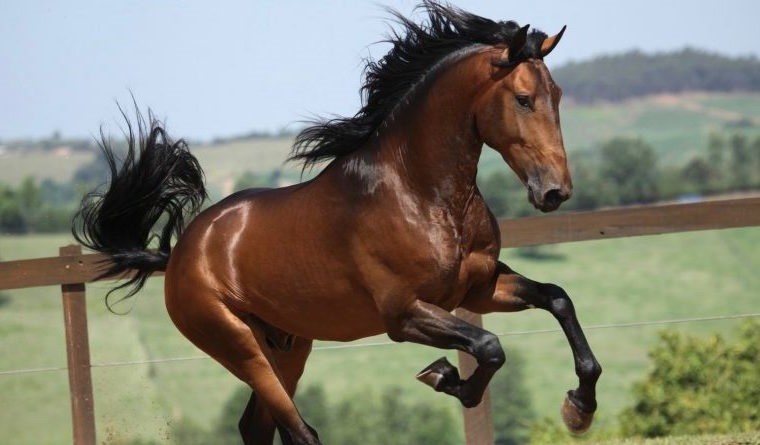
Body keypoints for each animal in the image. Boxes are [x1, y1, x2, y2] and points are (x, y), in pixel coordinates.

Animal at [73, 2, 601, 444]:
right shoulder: (404, 313)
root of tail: (181, 252)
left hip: (288, 346)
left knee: (258, 427)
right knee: (298, 431)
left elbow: (558, 299)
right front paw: (445, 376)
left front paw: (579, 407)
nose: (555, 191)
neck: (419, 193)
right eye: (524, 98)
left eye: (557, 94)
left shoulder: (477, 289)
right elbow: (490, 346)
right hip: (238, 345)